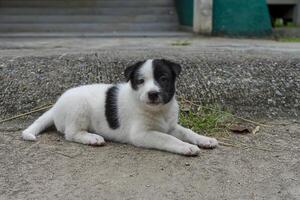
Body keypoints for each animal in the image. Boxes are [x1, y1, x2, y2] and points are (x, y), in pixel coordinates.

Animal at [21, 58, 218, 155]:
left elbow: (187, 132)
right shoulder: (142, 134)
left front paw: (204, 139)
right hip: (79, 109)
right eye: (140, 81)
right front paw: (186, 147)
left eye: (163, 79)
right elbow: (168, 139)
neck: (158, 111)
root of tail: (55, 106)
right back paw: (91, 138)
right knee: (71, 133)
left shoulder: (171, 126)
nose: (153, 94)